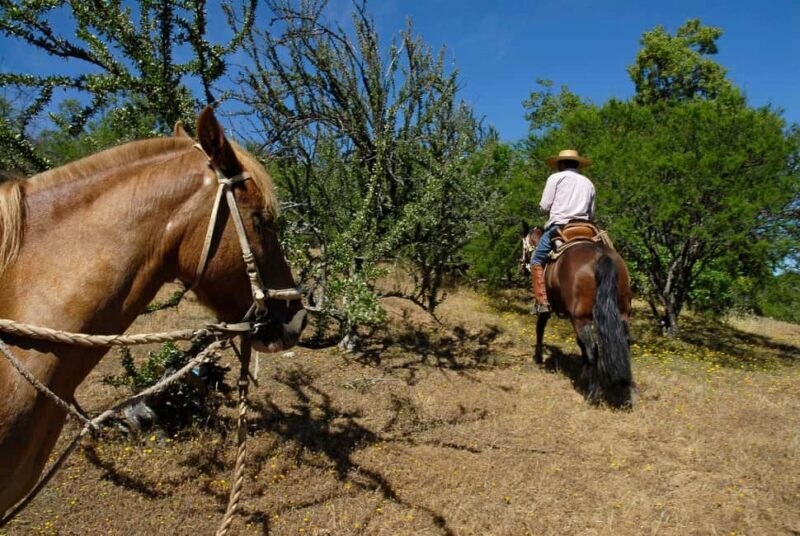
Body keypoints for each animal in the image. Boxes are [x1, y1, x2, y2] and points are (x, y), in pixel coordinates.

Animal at [520, 221, 635, 407]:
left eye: (523, 245)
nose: (521, 267)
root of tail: (600, 255)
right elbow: (580, 344)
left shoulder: (548, 308)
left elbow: (540, 329)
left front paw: (538, 357)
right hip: (622, 313)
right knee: (622, 344)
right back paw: (625, 392)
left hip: (581, 318)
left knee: (593, 349)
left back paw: (592, 394)